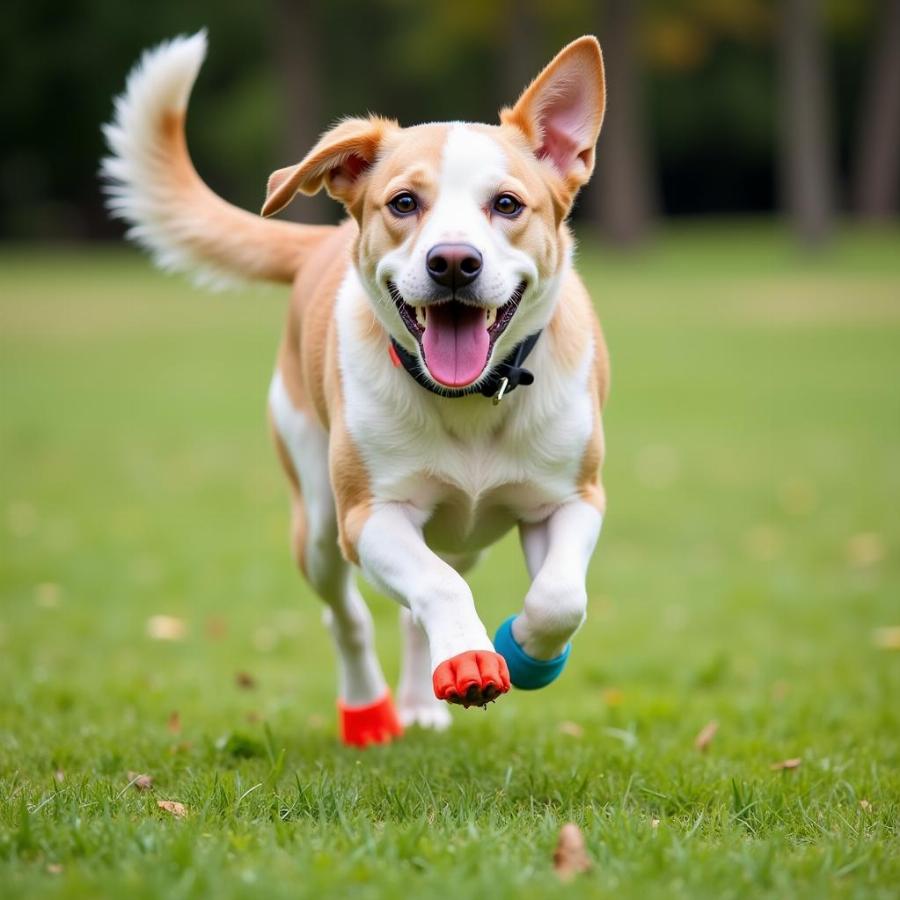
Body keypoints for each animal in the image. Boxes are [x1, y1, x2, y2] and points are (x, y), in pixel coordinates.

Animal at [103, 29, 612, 744]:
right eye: (404, 203)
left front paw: (525, 655)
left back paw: (421, 705)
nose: (453, 262)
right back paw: (370, 711)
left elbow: (561, 598)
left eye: (507, 204)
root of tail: (323, 239)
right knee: (347, 614)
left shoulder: (572, 497)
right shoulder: (370, 516)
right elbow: (436, 588)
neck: (469, 402)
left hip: (462, 538)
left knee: (422, 599)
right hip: (317, 520)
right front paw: (470, 656)